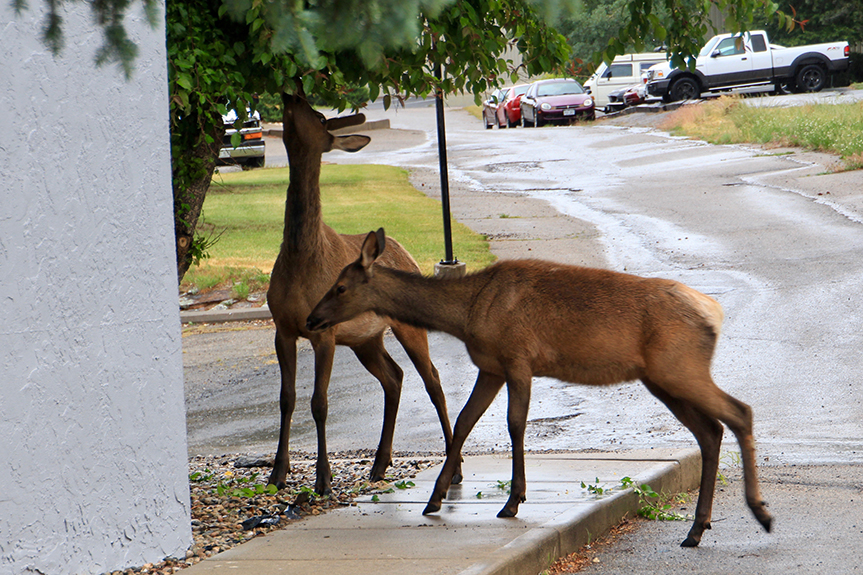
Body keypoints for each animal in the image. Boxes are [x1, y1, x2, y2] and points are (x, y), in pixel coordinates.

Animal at [266, 93, 462, 496]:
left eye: (319, 117)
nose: (292, 94)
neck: (300, 260)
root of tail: (404, 249)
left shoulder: (323, 332)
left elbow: (319, 403)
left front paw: (323, 479)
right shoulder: (282, 328)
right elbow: (286, 399)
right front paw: (277, 473)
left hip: (406, 325)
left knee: (432, 379)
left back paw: (455, 470)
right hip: (365, 339)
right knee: (394, 377)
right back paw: (379, 463)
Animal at [310, 228, 776, 548]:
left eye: (340, 287)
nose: (312, 319)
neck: (467, 313)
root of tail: (714, 312)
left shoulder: (518, 358)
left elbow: (515, 424)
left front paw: (513, 500)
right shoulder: (491, 367)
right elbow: (464, 422)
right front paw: (435, 499)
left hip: (679, 368)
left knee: (740, 412)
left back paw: (760, 513)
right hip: (662, 379)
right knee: (710, 431)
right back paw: (697, 529)